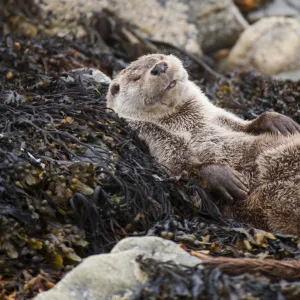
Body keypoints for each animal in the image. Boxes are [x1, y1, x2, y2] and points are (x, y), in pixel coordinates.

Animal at [108, 54, 300, 237]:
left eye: (160, 58)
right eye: (137, 77)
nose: (160, 67)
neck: (189, 124)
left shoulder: (219, 117)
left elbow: (246, 125)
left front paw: (278, 121)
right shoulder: (158, 141)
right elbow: (183, 172)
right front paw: (224, 177)